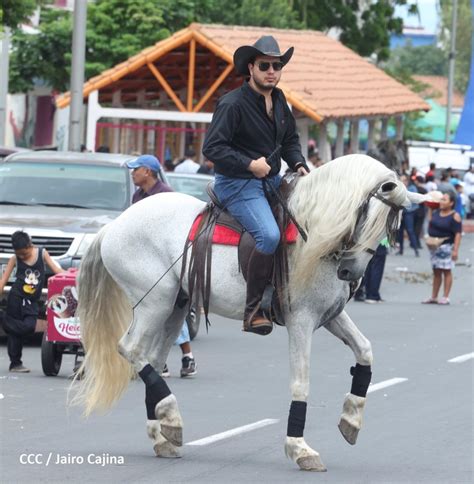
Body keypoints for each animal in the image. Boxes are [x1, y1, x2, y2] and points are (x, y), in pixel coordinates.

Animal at [73, 156, 430, 472]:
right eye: (364, 216)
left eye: (391, 225)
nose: (349, 272)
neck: (313, 233)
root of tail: (114, 225)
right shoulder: (301, 320)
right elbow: (301, 381)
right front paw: (300, 449)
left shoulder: (330, 316)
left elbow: (364, 351)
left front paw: (351, 418)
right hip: (155, 302)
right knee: (131, 349)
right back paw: (169, 419)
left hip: (176, 306)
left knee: (153, 358)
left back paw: (164, 431)